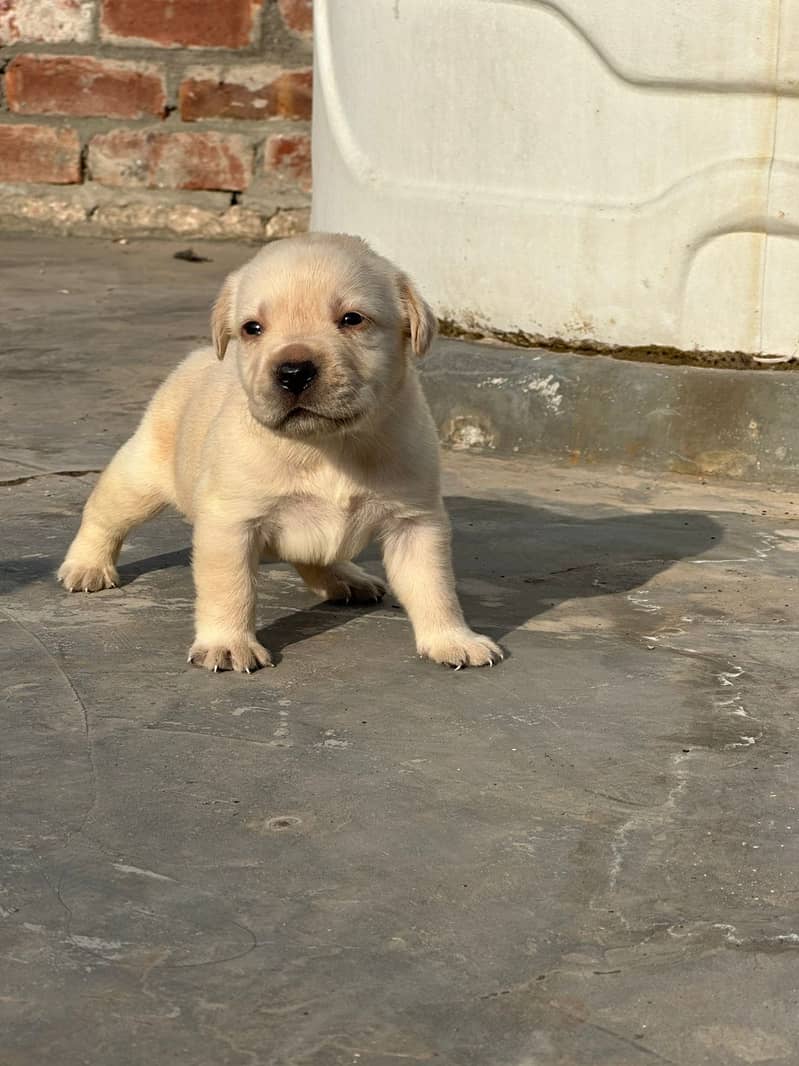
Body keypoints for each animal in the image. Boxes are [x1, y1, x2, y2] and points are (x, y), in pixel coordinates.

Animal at [59, 233, 502, 669]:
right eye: (252, 328)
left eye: (352, 319)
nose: (293, 372)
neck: (326, 445)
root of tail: (198, 357)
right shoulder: (231, 523)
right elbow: (231, 588)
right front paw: (228, 643)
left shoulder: (416, 522)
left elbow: (435, 586)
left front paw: (452, 638)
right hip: (140, 475)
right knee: (104, 515)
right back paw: (87, 565)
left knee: (316, 559)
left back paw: (346, 578)